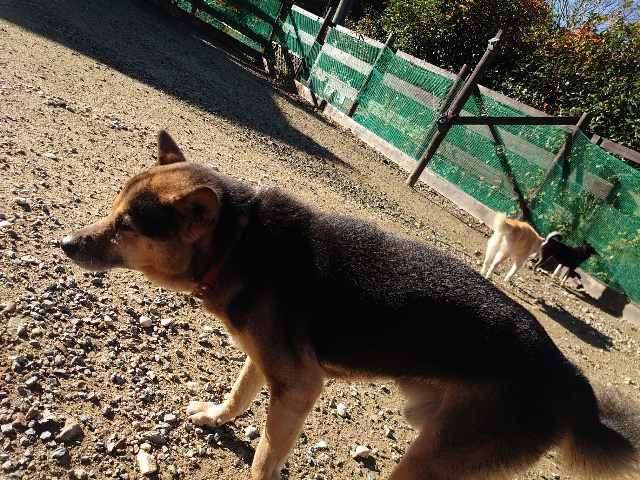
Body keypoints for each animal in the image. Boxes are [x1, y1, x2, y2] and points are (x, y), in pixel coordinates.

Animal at [60, 131, 639, 480]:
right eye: (112, 210)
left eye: (125, 227)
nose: (65, 243)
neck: (239, 244)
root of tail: (575, 383)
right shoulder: (266, 359)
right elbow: (240, 393)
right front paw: (215, 415)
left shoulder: (299, 386)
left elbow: (266, 454)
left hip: (433, 456)